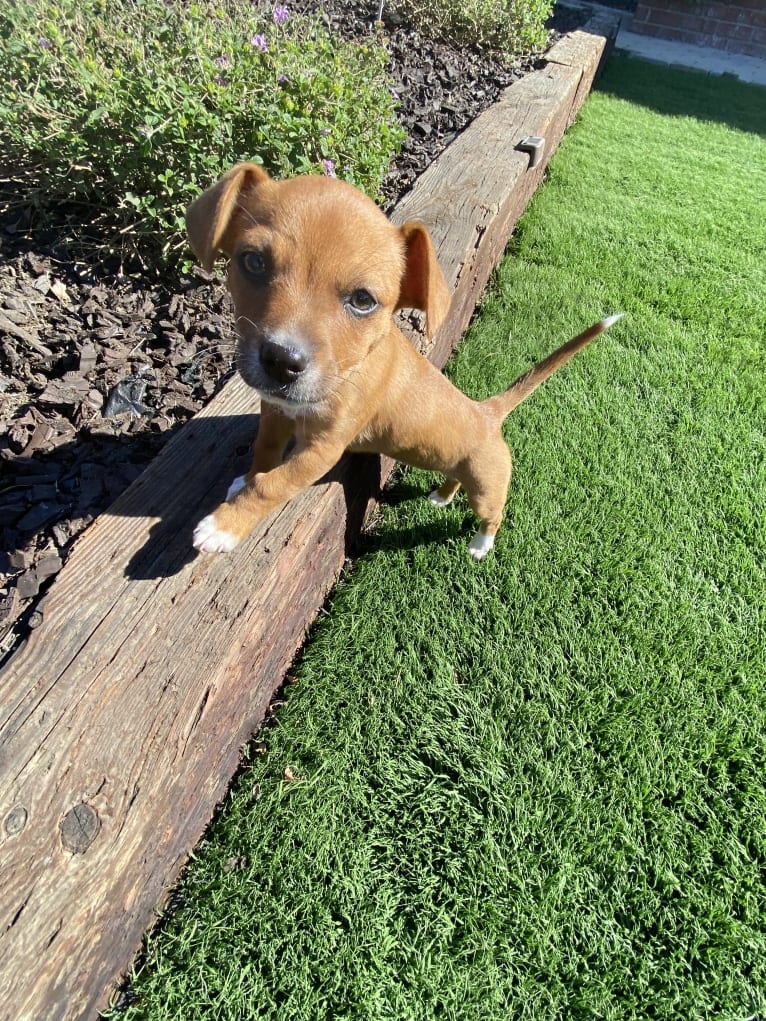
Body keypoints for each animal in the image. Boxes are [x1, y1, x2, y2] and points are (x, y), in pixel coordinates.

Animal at [187, 161, 625, 559]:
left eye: (363, 300)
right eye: (253, 261)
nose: (281, 360)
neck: (352, 366)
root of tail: (486, 413)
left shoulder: (322, 450)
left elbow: (273, 484)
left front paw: (225, 525)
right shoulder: (275, 412)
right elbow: (264, 452)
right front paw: (243, 482)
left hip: (488, 488)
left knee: (493, 515)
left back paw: (480, 546)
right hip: (458, 467)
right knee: (454, 480)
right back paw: (441, 497)